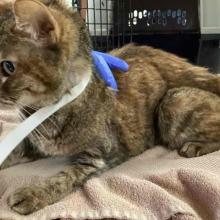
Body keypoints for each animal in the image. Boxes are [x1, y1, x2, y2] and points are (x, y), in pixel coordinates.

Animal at [0, 0, 219, 215]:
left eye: (7, 67)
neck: (43, 112)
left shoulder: (100, 156)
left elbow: (66, 177)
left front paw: (34, 193)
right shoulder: (32, 144)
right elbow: (9, 152)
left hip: (173, 102)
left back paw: (196, 146)